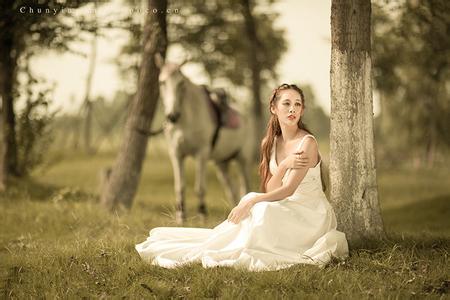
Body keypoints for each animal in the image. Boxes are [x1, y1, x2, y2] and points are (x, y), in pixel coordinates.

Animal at [156, 58, 255, 223]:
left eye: (181, 83)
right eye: (161, 82)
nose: (172, 116)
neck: (187, 119)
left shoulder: (201, 154)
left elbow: (200, 187)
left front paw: (202, 214)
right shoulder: (176, 154)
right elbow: (180, 186)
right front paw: (181, 217)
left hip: (243, 159)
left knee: (245, 186)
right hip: (222, 163)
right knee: (231, 189)